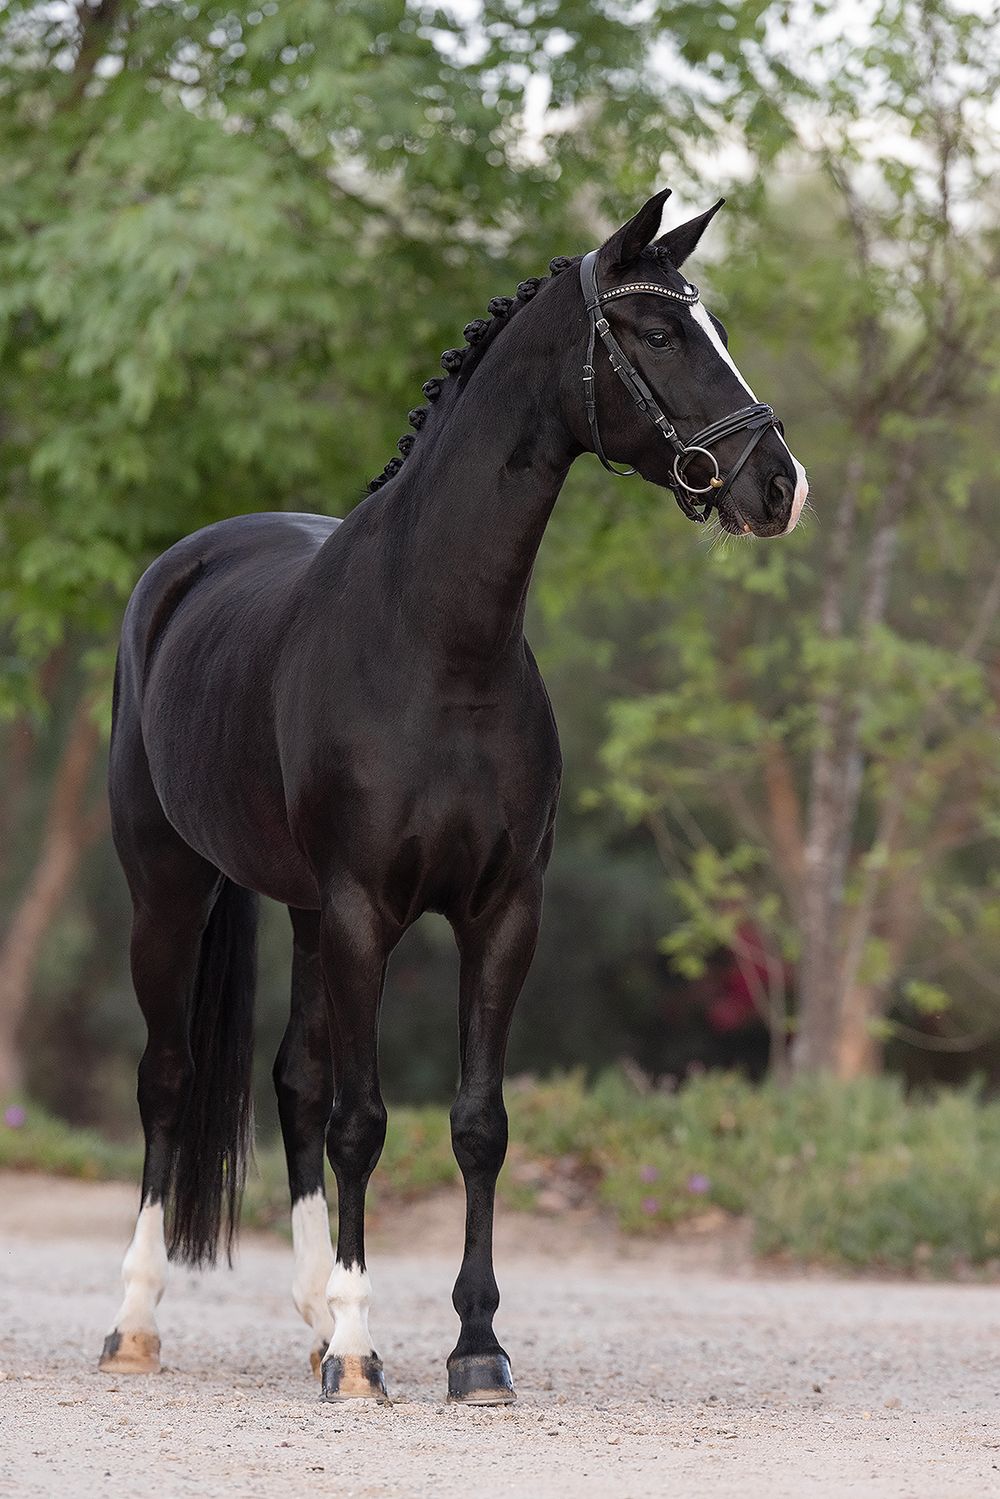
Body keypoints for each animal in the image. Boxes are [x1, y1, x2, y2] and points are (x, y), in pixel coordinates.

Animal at [98, 189, 808, 1403]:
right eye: (658, 332)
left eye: (708, 323)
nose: (777, 485)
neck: (437, 645)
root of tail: (177, 571)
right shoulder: (361, 911)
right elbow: (362, 1122)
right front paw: (357, 1352)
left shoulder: (501, 911)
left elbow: (477, 1123)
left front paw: (473, 1347)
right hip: (168, 886)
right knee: (169, 1077)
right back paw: (141, 1322)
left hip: (297, 910)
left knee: (291, 1081)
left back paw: (306, 1308)